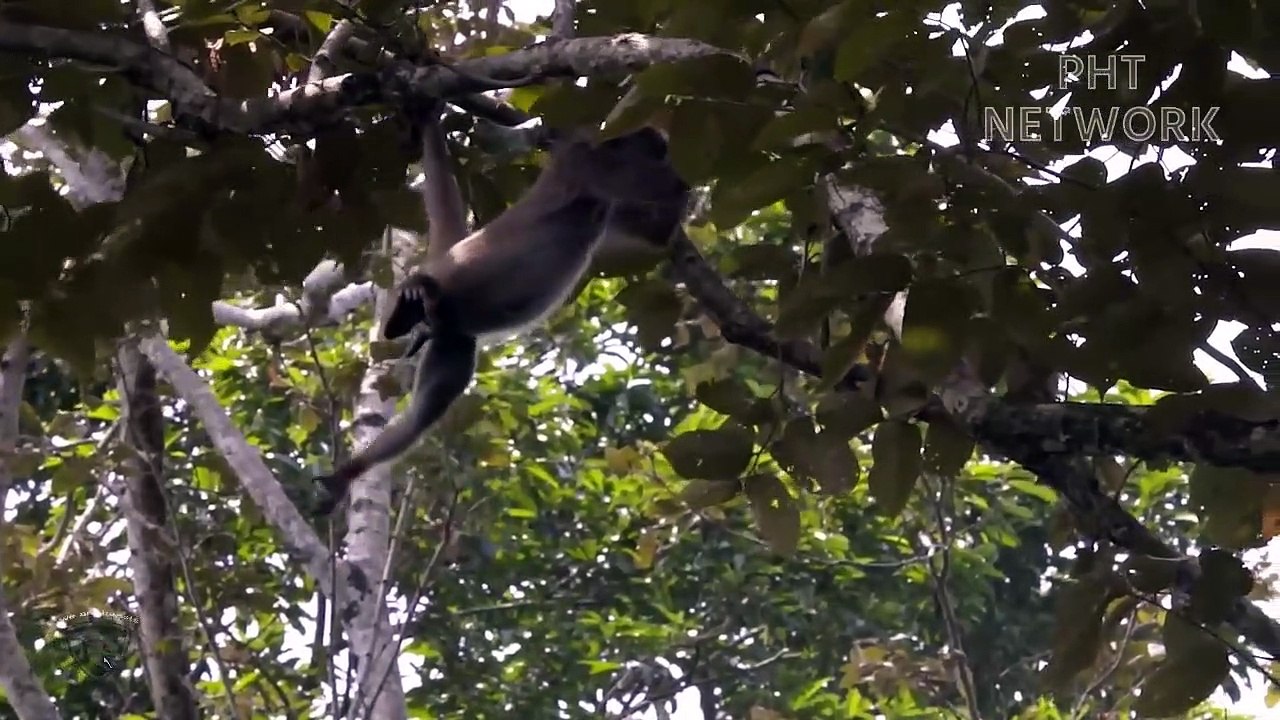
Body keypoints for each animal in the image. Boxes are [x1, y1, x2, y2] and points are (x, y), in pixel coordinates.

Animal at [312, 109, 689, 515]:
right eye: (656, 151)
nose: (664, 151)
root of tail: (449, 255)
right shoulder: (593, 165)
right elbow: (659, 190)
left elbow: (657, 233)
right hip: (453, 279)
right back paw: (410, 301)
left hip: (453, 336)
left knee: (424, 412)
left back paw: (345, 475)